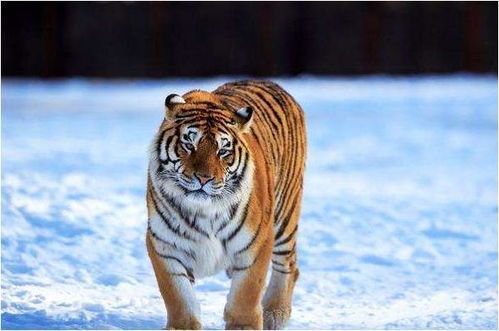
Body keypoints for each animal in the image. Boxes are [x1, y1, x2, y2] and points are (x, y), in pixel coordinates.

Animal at [146, 80, 306, 330]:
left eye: (223, 150)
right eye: (189, 144)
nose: (204, 178)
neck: (204, 211)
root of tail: (271, 82)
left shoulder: (256, 244)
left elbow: (246, 294)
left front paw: (244, 325)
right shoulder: (164, 245)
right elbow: (178, 297)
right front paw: (183, 326)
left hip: (285, 216)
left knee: (288, 265)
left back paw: (274, 313)